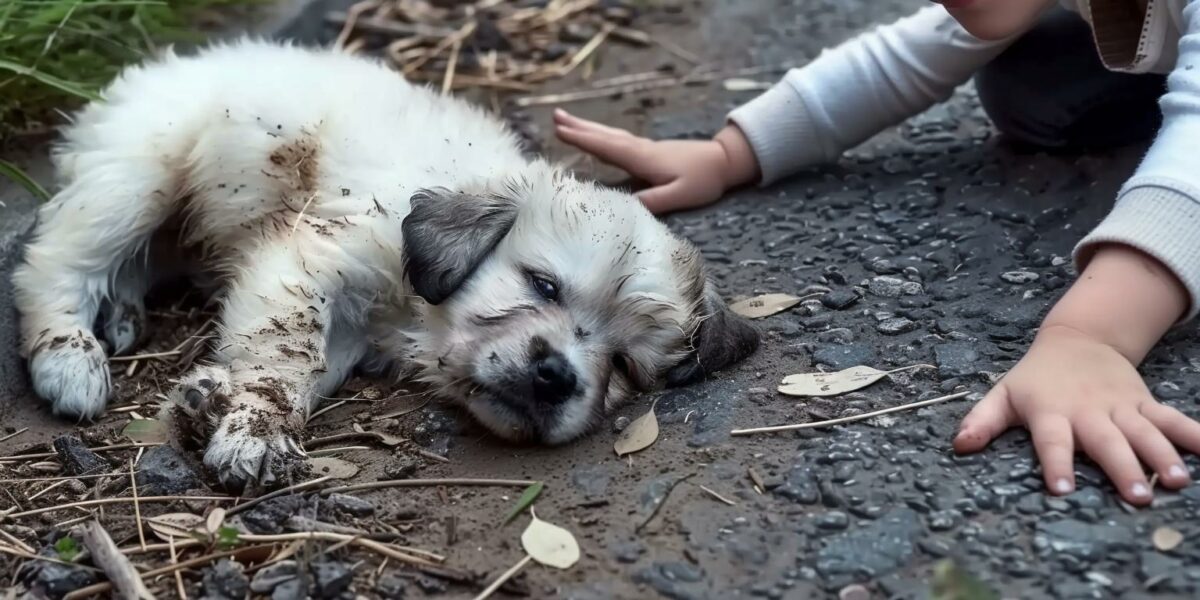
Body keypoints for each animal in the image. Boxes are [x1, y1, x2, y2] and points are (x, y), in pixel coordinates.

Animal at [11, 39, 758, 489]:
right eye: (543, 284)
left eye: (625, 367)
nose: (554, 377)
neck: (414, 315)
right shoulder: (311, 258)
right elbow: (289, 354)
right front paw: (255, 431)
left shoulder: (346, 323)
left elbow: (308, 366)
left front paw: (214, 402)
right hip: (140, 177)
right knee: (50, 263)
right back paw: (70, 357)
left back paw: (124, 316)